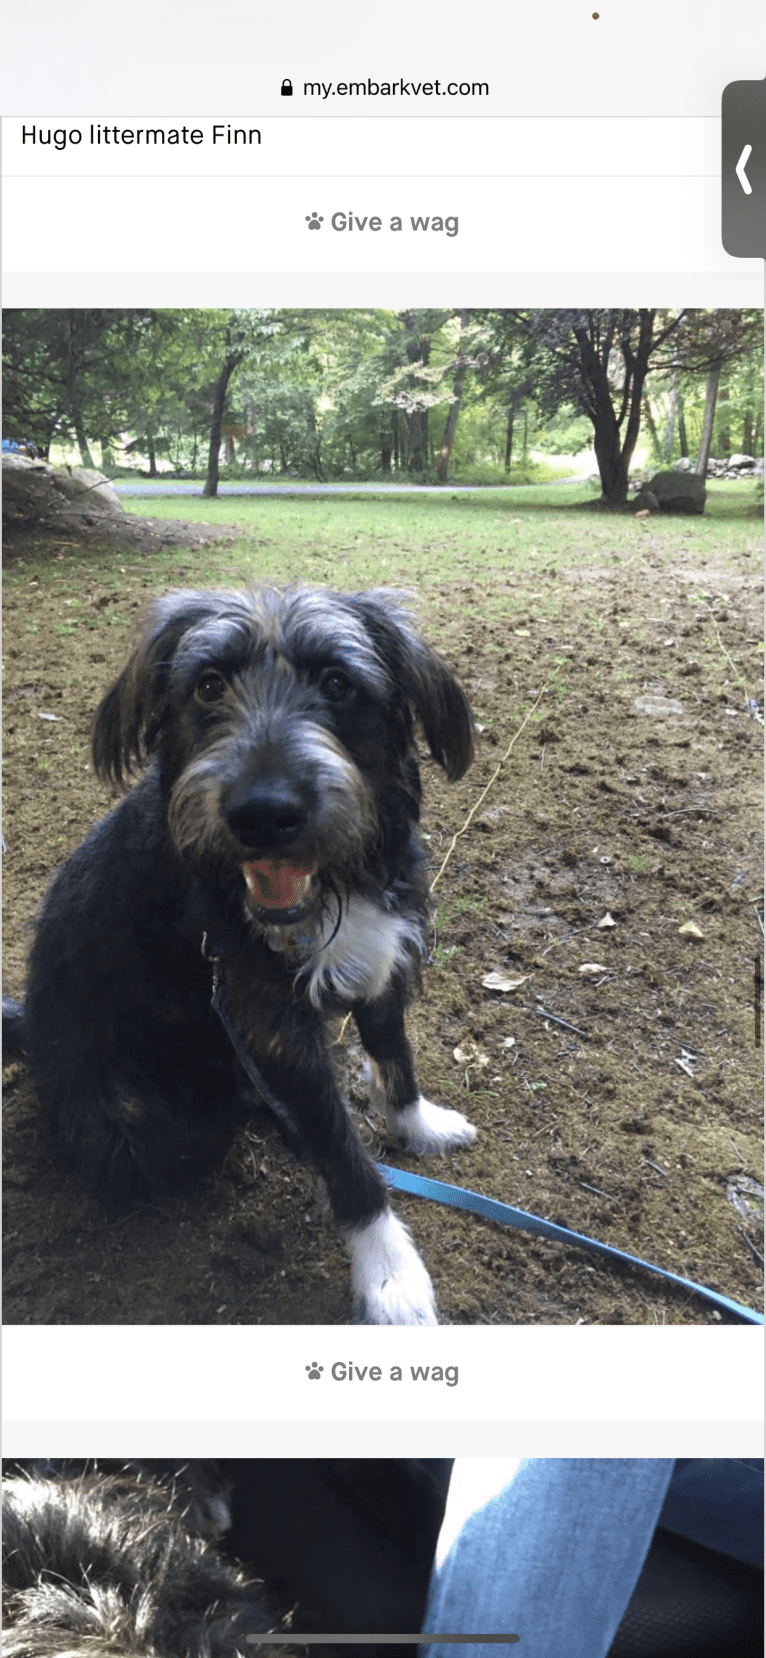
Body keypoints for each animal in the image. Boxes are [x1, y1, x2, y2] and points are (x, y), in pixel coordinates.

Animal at [7, 590, 477, 1326]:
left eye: (337, 683)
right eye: (207, 685)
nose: (263, 814)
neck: (337, 883)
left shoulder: (382, 956)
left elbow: (394, 1052)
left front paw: (418, 1123)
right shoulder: (269, 1020)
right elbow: (343, 1151)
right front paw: (389, 1270)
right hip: (135, 1121)